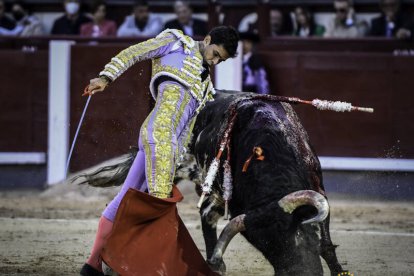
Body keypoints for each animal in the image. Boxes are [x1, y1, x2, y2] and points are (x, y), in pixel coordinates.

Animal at [175, 89, 346, 274]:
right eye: (265, 249)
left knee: (207, 212)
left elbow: (326, 245)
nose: (300, 272)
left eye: (298, 234)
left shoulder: (318, 189)